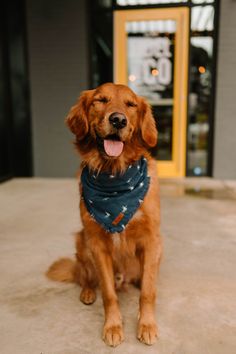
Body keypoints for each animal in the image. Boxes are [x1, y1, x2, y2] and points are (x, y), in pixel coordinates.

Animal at [47, 82, 163, 346]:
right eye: (100, 100)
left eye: (131, 105)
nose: (118, 120)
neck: (115, 174)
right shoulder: (97, 244)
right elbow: (109, 294)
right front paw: (112, 327)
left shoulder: (152, 239)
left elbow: (149, 291)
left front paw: (147, 324)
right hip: (82, 242)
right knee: (85, 276)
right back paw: (88, 292)